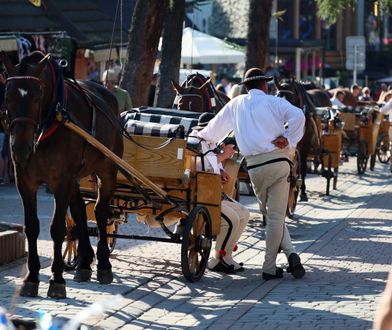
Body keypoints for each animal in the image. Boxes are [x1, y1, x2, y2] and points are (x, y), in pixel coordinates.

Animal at [1, 51, 123, 300]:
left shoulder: (61, 181)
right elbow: (32, 227)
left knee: (101, 212)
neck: (51, 121)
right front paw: (32, 277)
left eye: (37, 97)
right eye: (7, 97)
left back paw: (104, 264)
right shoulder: (24, 181)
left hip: (107, 170)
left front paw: (56, 279)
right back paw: (84, 263)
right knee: (78, 210)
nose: (20, 148)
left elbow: (56, 228)